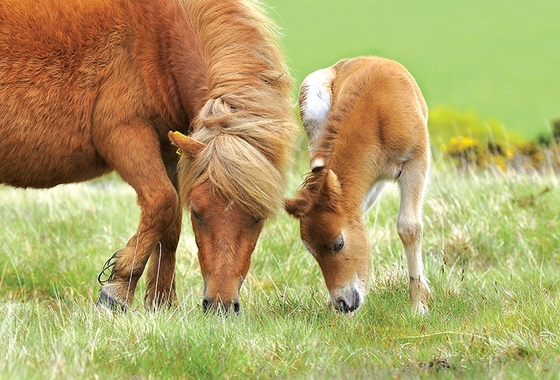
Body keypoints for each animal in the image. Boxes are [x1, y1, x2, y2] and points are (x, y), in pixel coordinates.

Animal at [0, 0, 298, 314]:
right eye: (198, 213)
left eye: (257, 218)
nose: (220, 305)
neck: (157, 38)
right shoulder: (125, 134)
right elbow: (162, 202)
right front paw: (116, 293)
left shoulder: (169, 152)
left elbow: (170, 225)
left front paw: (161, 302)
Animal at [286, 55, 430, 312]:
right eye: (311, 251)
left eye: (339, 243)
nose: (343, 304)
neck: (378, 115)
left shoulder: (417, 160)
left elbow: (409, 227)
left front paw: (418, 308)